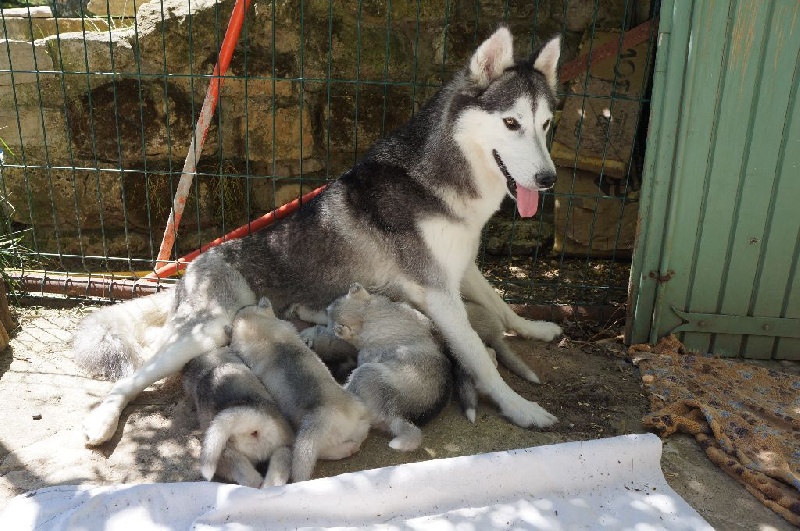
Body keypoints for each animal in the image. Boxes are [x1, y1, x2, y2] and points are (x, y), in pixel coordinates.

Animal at [75, 27, 564, 446]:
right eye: (512, 123)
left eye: (545, 125)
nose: (548, 180)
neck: (437, 179)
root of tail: (191, 269)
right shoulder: (439, 293)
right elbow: (480, 358)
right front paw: (521, 408)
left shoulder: (461, 269)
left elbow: (501, 305)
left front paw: (534, 328)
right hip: (204, 331)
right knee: (132, 376)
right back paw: (102, 420)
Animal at [228, 298, 372, 484]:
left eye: (244, 308)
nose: (241, 307)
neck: (264, 333)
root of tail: (325, 415)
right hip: (359, 415)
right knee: (359, 436)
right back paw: (352, 446)